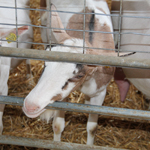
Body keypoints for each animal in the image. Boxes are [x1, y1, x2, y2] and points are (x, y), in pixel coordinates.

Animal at [22, 0, 115, 145]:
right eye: (45, 63)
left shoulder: (100, 92)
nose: (30, 106)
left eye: (79, 75)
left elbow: (92, 128)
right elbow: (58, 125)